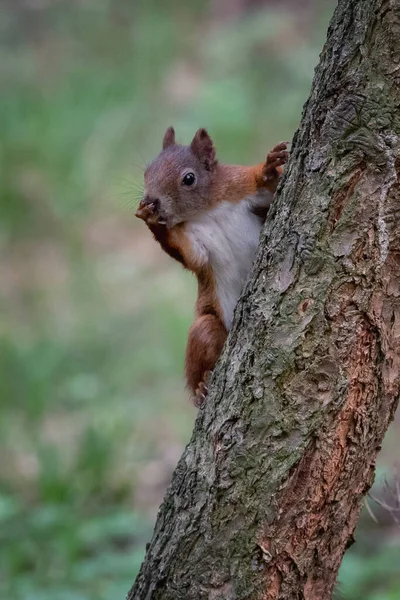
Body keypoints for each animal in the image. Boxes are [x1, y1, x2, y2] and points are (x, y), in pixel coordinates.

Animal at [136, 128, 286, 406]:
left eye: (189, 178)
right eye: (147, 172)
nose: (151, 200)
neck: (205, 210)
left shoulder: (240, 186)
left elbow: (267, 184)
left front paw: (269, 167)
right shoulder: (195, 245)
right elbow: (192, 256)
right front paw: (151, 219)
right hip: (207, 325)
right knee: (204, 341)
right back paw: (201, 387)